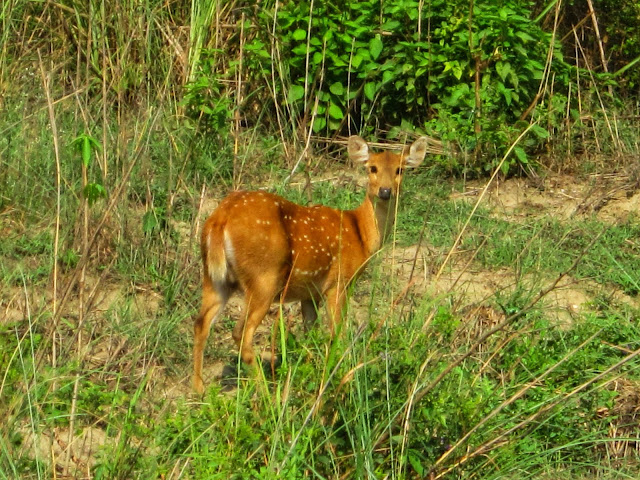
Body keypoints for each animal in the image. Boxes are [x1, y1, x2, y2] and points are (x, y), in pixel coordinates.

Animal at [192, 135, 428, 394]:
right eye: (372, 168)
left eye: (400, 169)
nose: (385, 191)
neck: (360, 234)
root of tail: (219, 219)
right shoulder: (339, 282)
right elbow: (337, 332)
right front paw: (338, 370)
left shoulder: (309, 293)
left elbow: (310, 334)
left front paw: (309, 369)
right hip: (264, 277)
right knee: (241, 332)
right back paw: (264, 391)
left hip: (215, 278)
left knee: (201, 323)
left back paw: (199, 388)